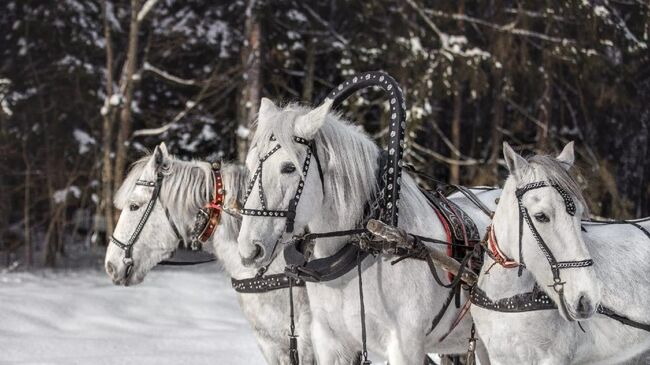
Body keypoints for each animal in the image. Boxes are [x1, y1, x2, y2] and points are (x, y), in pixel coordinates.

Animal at [238, 98, 496, 362]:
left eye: (289, 167)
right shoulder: (330, 341)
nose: (249, 250)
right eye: (248, 164)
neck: (374, 243)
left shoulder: (405, 346)